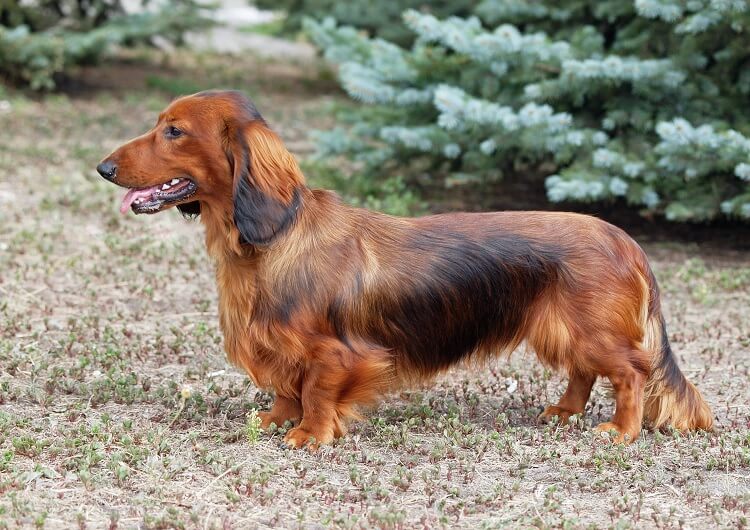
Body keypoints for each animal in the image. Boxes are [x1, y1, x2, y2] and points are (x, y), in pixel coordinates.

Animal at [97, 91, 712, 446]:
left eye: (174, 130)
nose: (103, 168)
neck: (272, 240)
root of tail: (624, 238)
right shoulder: (278, 346)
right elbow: (288, 384)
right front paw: (277, 418)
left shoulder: (335, 353)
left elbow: (316, 390)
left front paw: (310, 434)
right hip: (563, 328)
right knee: (584, 371)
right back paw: (564, 411)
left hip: (593, 332)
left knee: (630, 373)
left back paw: (621, 430)